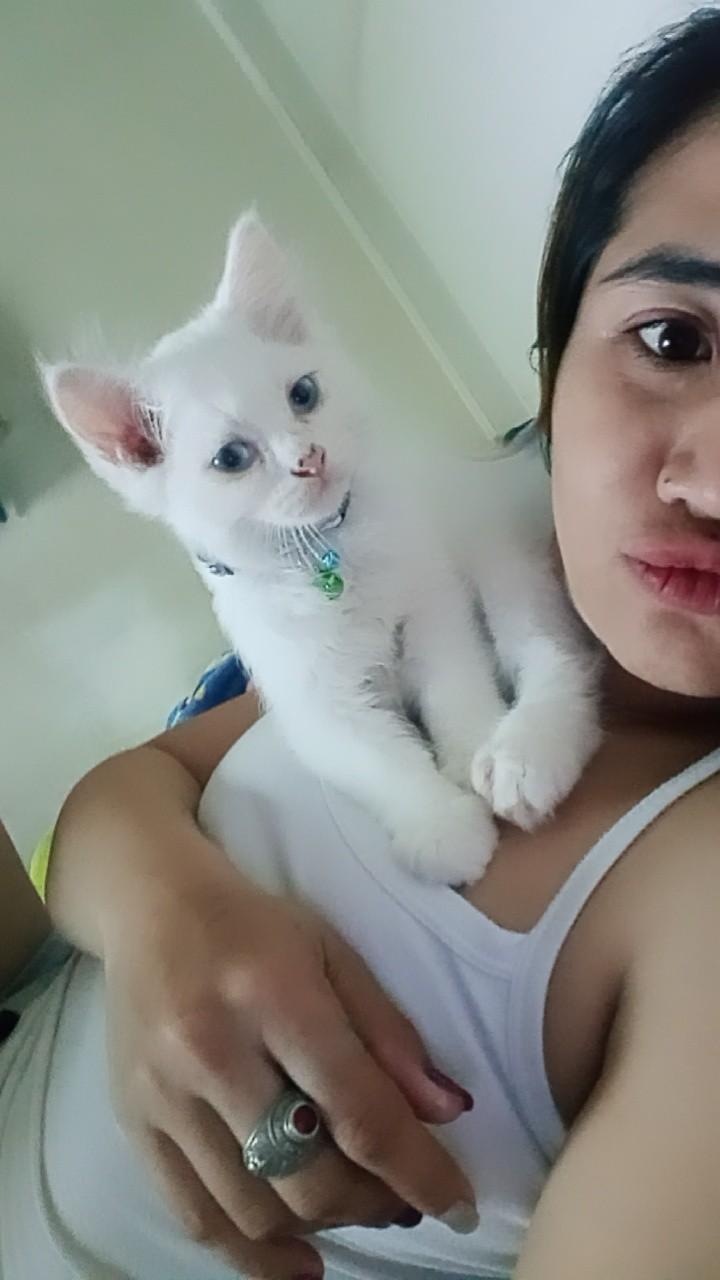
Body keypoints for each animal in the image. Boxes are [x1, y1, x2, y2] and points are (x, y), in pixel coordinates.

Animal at [42, 212, 600, 884]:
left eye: (302, 395)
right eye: (232, 458)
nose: (310, 458)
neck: (326, 558)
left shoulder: (433, 610)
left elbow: (454, 687)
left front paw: (468, 751)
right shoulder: (315, 704)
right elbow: (380, 761)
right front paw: (441, 825)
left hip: (496, 558)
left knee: (554, 654)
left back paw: (524, 755)